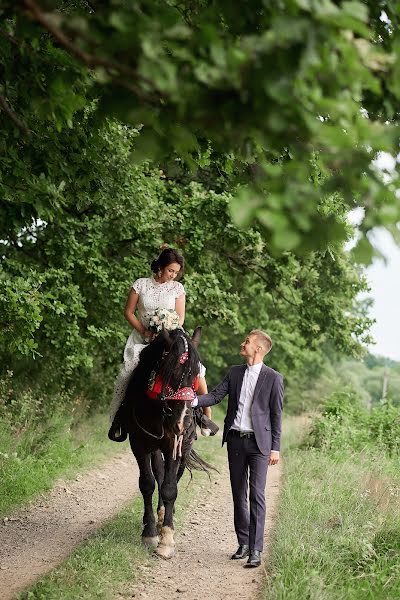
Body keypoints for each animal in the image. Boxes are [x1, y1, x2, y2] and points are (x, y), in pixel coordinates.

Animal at [121, 326, 209, 560]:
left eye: (195, 377)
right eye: (170, 373)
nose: (183, 421)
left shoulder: (174, 445)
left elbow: (170, 487)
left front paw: (167, 539)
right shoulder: (139, 444)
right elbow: (148, 483)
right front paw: (150, 533)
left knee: (171, 477)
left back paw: (164, 517)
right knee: (158, 474)